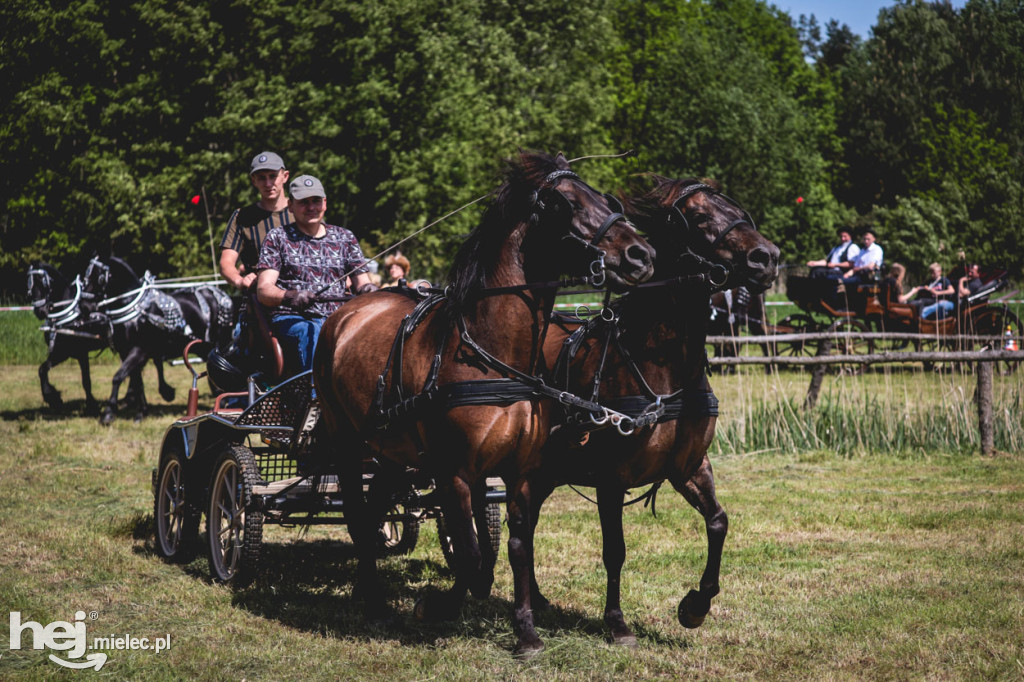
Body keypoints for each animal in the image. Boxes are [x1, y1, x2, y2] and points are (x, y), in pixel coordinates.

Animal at [82, 254, 234, 421]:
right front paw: (141, 412)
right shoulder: (126, 351)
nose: (84, 305)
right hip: (202, 346)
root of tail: (221, 295)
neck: (135, 309)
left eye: (96, 275)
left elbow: (118, 377)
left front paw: (108, 413)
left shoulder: (139, 350)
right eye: (85, 276)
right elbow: (137, 382)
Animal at [311, 152, 659, 626]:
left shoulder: (510, 467)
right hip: (346, 440)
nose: (642, 254)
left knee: (374, 504)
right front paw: (440, 603)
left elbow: (498, 547)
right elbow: (472, 553)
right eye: (565, 204)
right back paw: (374, 599)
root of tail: (346, 311)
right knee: (355, 514)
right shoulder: (452, 471)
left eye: (605, 199)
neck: (489, 350)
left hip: (392, 450)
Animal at [516, 176, 778, 655]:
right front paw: (617, 623)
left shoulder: (688, 467)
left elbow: (718, 522)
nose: (766, 257)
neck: (662, 366)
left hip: (546, 473)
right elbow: (614, 551)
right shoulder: (610, 478)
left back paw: (538, 600)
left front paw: (695, 605)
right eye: (698, 216)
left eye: (736, 209)